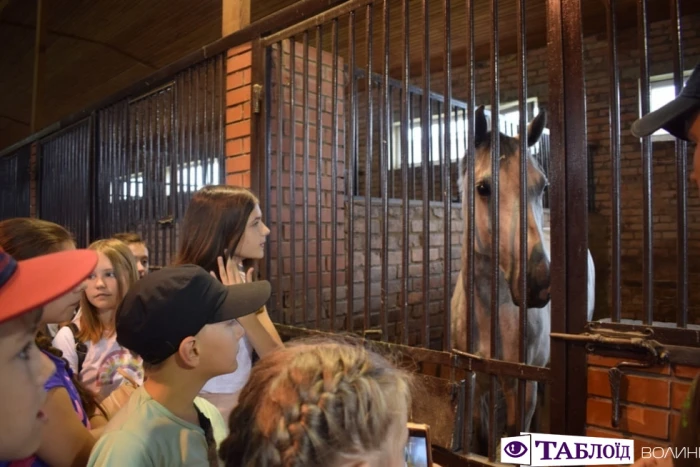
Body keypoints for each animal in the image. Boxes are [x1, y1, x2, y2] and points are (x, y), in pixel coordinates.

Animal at [448, 105, 596, 458]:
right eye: (483, 188)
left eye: (542, 186)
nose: (539, 284)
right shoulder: (474, 382)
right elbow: (480, 439)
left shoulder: (521, 385)